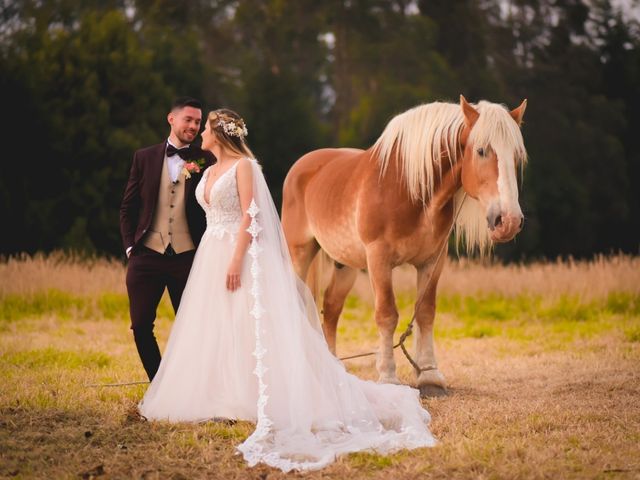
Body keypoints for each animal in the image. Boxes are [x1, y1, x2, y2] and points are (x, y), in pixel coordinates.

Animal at [282, 95, 528, 396]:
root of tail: (303, 165)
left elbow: (425, 313)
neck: (410, 190)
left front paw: (430, 375)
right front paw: (388, 377)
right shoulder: (379, 259)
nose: (509, 221)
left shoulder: (433, 261)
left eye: (516, 157)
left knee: (330, 308)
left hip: (345, 264)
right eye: (481, 150)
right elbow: (387, 314)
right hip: (299, 253)